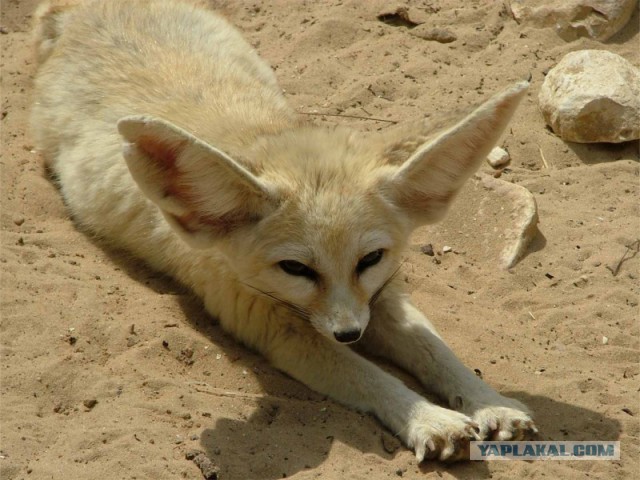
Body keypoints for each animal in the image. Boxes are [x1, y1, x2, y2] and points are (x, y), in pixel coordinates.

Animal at [32, 0, 536, 460]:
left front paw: (491, 403)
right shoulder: (274, 325)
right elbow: (369, 375)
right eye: (295, 269)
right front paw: (427, 417)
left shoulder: (379, 296)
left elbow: (436, 350)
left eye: (370, 259)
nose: (349, 333)